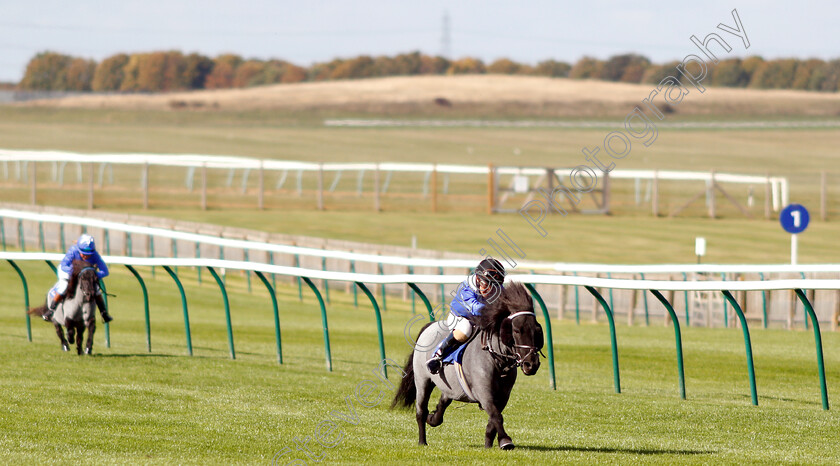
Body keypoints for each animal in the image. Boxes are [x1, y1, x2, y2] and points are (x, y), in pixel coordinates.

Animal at [394, 282, 544, 450]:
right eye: (517, 330)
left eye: (537, 330)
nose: (531, 364)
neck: (497, 360)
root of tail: (429, 326)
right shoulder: (484, 392)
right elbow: (496, 416)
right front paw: (506, 441)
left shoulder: (504, 395)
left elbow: (492, 421)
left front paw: (489, 444)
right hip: (422, 381)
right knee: (421, 411)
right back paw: (422, 441)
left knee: (444, 401)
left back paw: (433, 418)